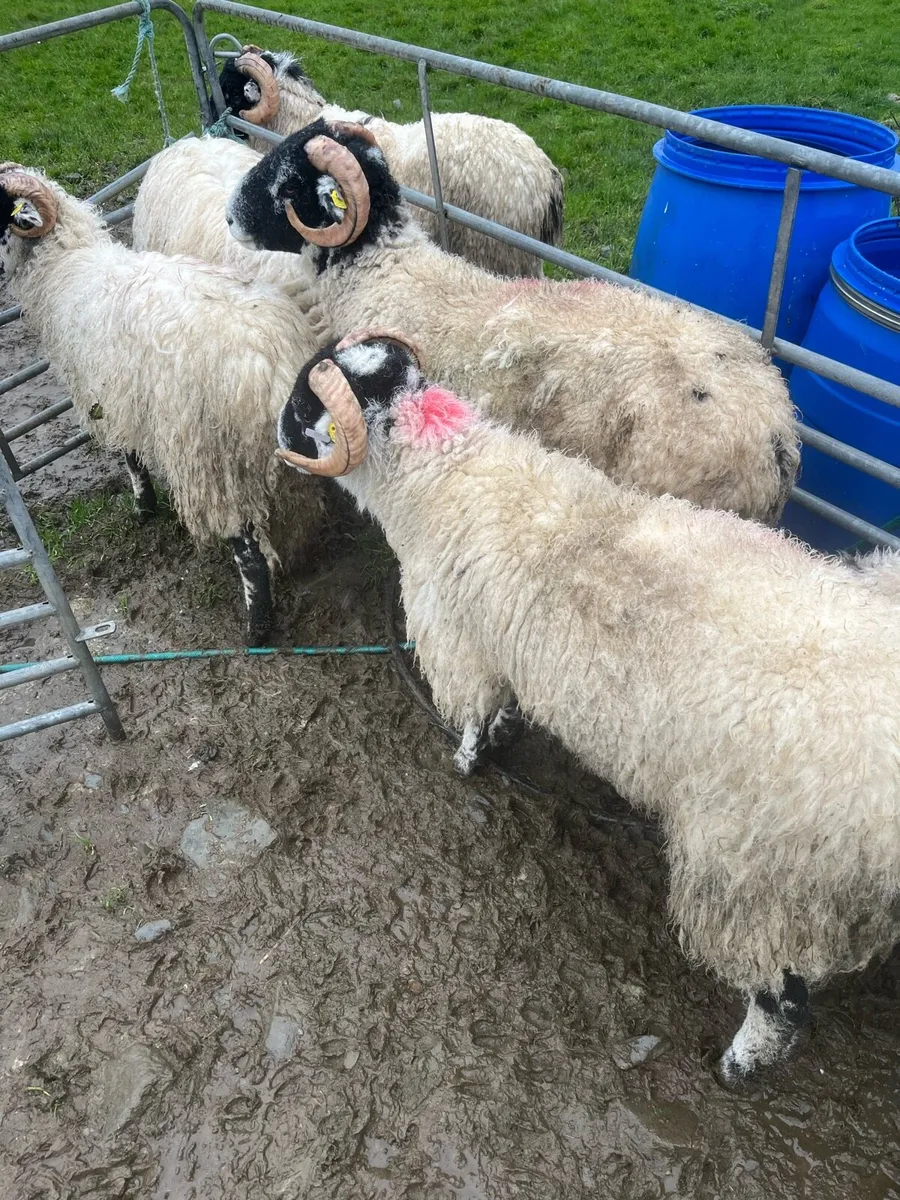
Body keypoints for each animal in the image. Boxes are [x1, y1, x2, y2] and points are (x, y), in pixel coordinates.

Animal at [0, 164, 323, 645]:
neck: (66, 268)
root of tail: (271, 365)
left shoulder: (106, 398)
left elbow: (130, 457)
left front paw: (143, 509)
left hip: (212, 463)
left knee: (247, 550)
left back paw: (256, 630)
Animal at [273, 329, 900, 1083]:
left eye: (305, 404)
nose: (273, 433)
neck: (448, 476)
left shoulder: (461, 640)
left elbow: (475, 714)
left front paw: (468, 761)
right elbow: (505, 706)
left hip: (761, 877)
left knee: (782, 998)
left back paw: (737, 1065)